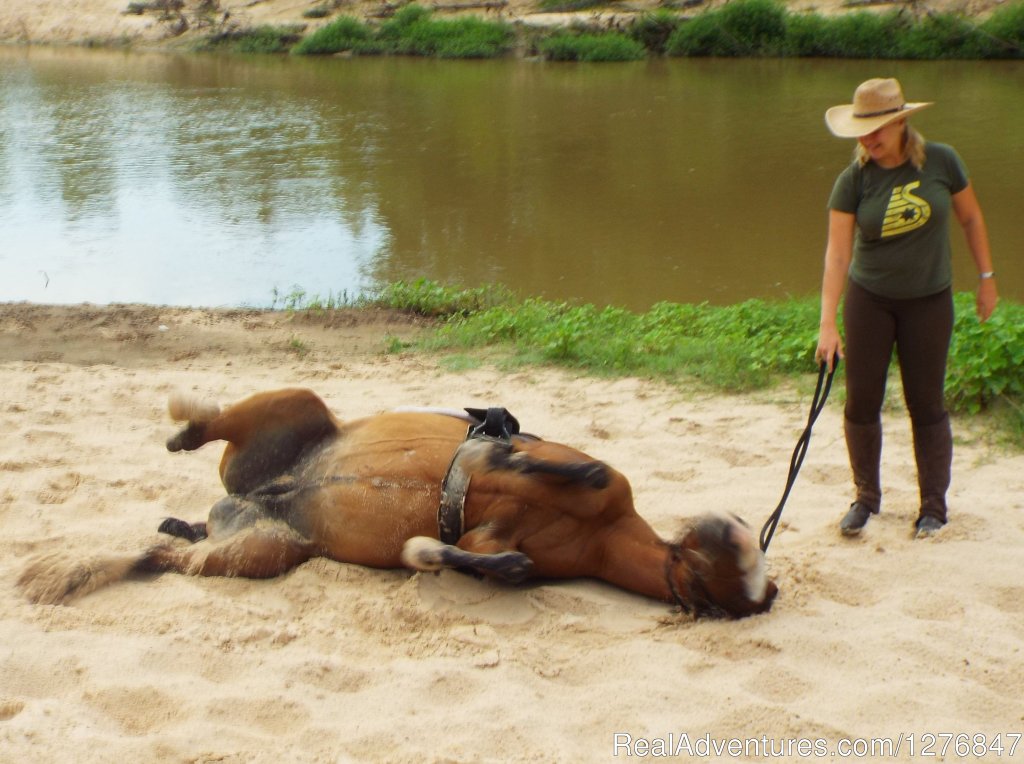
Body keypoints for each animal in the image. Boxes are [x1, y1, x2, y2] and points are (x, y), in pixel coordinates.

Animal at [18, 383, 774, 614]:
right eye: (743, 553)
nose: (738, 526)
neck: (607, 532)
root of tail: (256, 495)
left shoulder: (491, 538)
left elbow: (486, 558)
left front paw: (436, 554)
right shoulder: (572, 473)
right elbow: (544, 466)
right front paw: (497, 451)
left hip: (260, 552)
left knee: (166, 560)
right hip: (296, 405)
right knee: (211, 425)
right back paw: (185, 420)